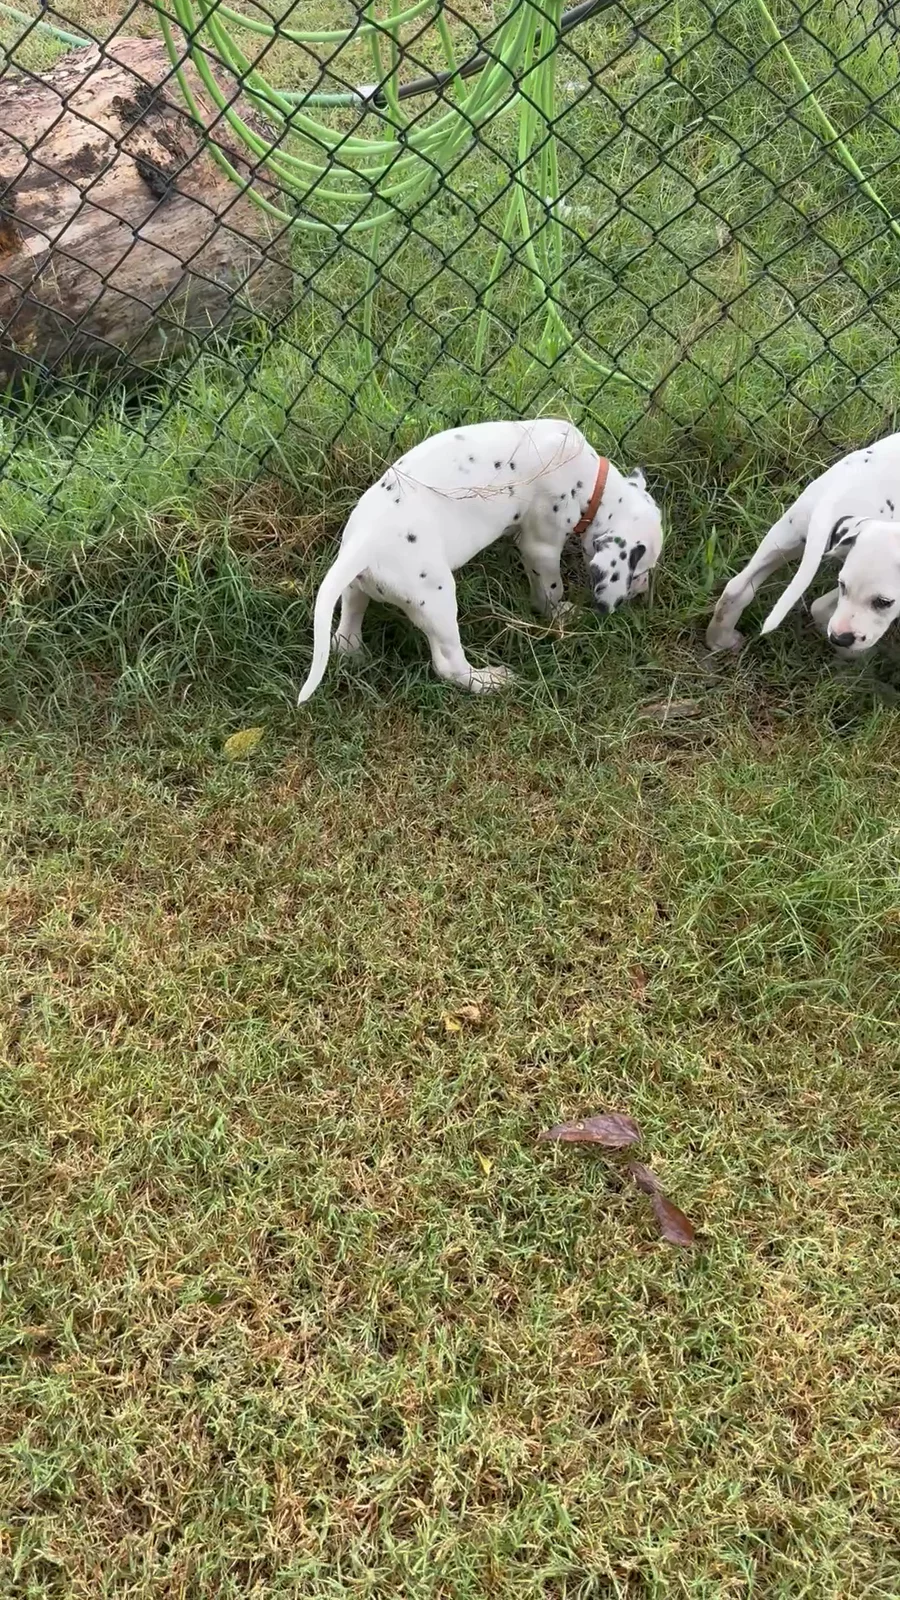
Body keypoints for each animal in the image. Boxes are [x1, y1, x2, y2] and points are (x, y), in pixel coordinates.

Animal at [296, 418, 663, 701]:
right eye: (639, 572)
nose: (643, 590)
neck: (592, 480)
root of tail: (363, 546)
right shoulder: (541, 545)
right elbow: (550, 588)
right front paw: (559, 614)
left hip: (355, 588)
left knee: (344, 633)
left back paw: (355, 654)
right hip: (437, 601)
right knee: (449, 665)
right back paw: (489, 681)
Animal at [706, 431, 900, 657]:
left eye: (883, 603)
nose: (840, 638)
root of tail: (835, 495)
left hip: (786, 538)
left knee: (737, 588)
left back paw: (721, 640)